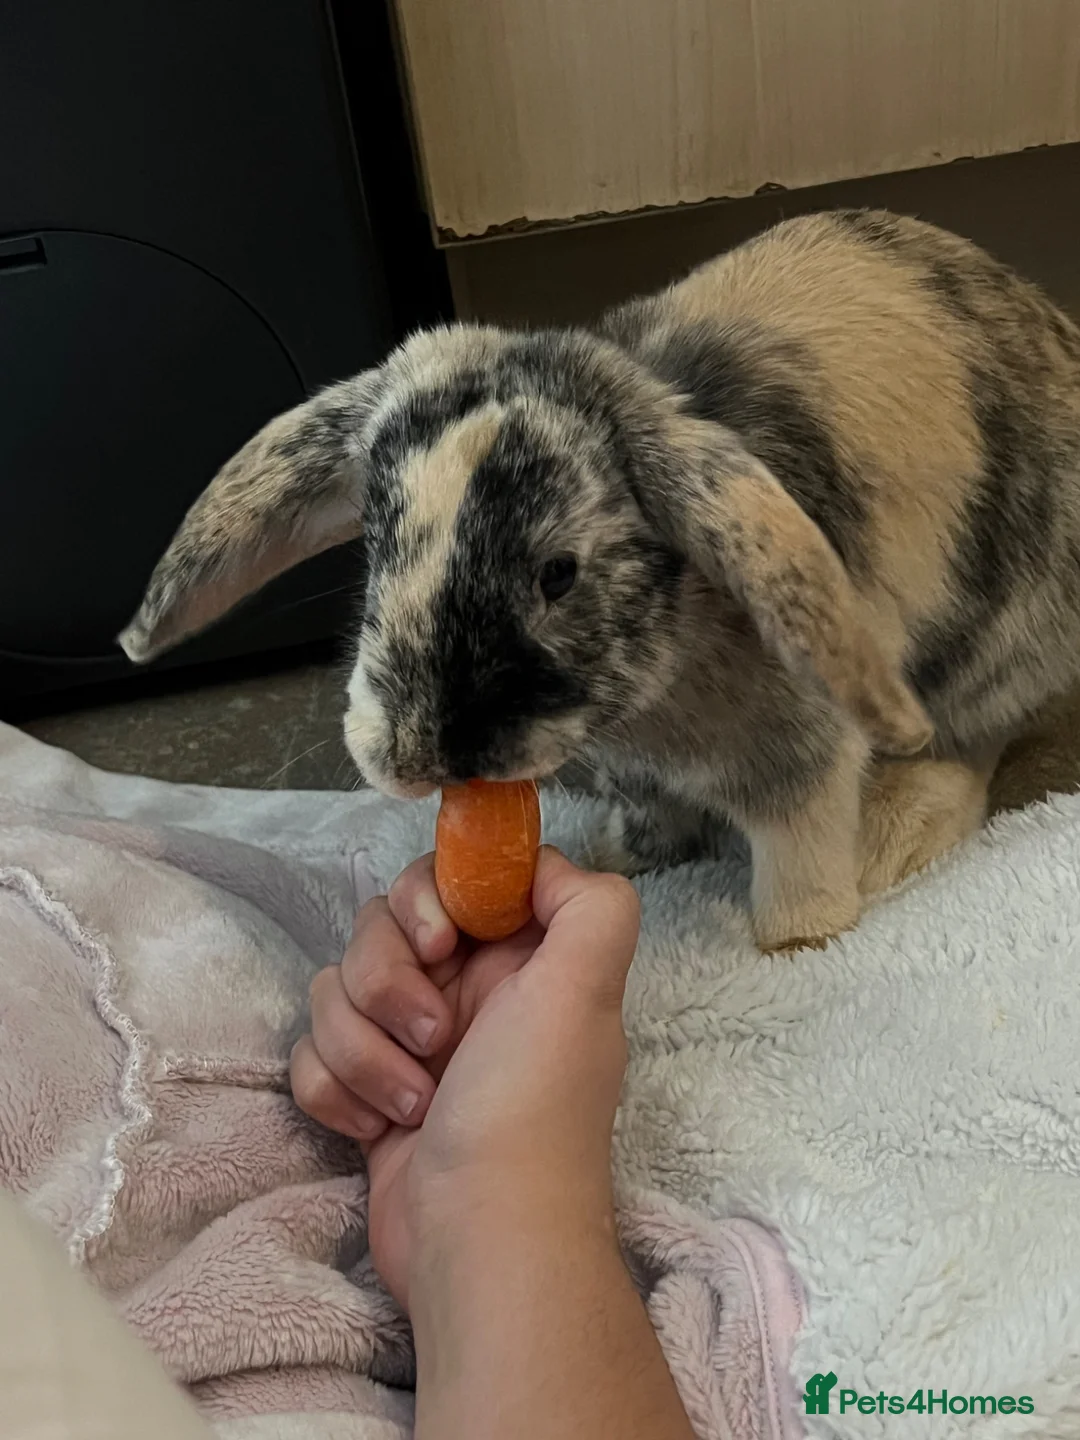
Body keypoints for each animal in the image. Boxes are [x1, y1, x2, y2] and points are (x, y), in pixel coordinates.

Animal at [120, 209, 1080, 951]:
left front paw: (796, 943)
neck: (657, 691)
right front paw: (617, 861)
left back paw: (894, 832)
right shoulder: (640, 774)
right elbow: (652, 823)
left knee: (972, 744)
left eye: (558, 573)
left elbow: (797, 855)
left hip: (996, 651)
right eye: (378, 546)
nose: (418, 758)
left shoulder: (801, 763)